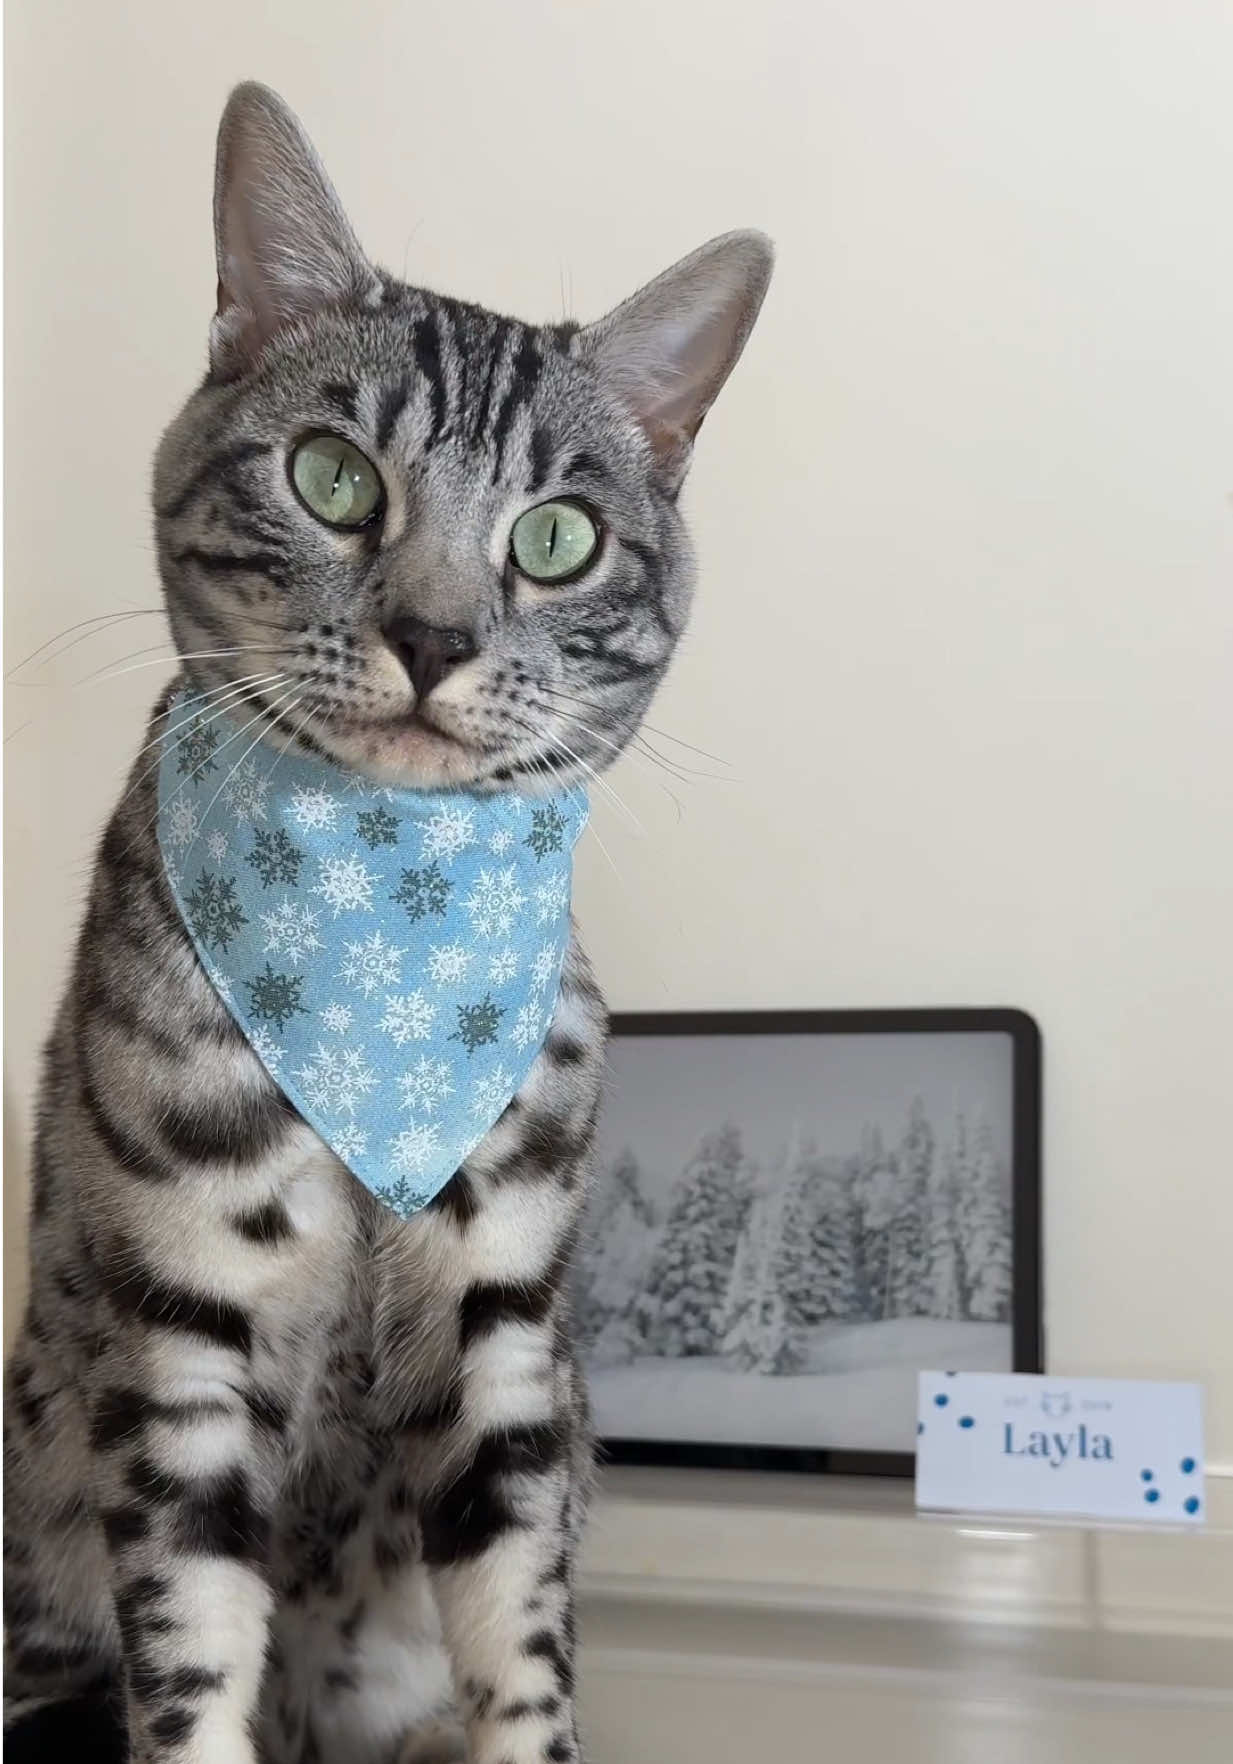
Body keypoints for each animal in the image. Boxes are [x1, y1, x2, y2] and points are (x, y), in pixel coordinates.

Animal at [2, 79, 772, 1764]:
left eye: (556, 538)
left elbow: (521, 1638)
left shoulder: (504, 1326)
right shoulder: (179, 1332)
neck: (381, 932)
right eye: (333, 477)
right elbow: (192, 1661)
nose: (430, 635)